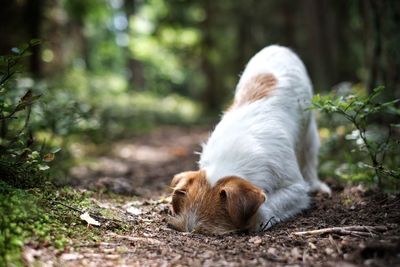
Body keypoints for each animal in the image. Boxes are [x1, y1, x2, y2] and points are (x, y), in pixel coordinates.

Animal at [169, 45, 332, 234]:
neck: (230, 159)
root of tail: (277, 47)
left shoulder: (296, 188)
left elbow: (271, 203)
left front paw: (257, 219)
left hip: (309, 128)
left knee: (309, 155)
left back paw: (317, 184)